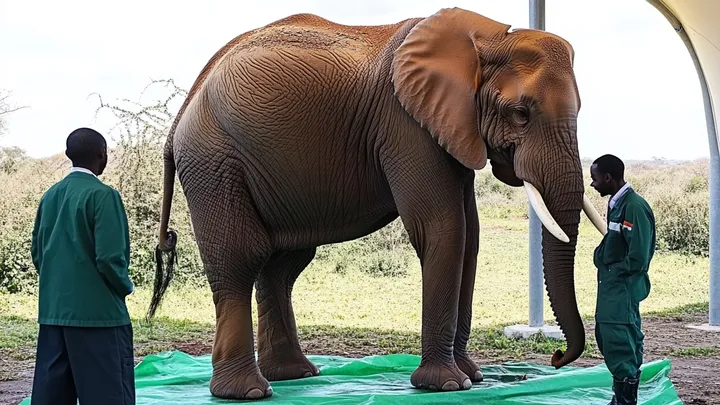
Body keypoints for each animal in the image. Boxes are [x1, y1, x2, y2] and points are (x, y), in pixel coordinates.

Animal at [147, 7, 607, 400]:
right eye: (521, 114)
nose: (556, 358)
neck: (488, 37)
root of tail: (182, 111)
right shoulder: (405, 124)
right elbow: (443, 229)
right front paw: (447, 385)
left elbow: (470, 239)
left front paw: (471, 378)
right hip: (213, 161)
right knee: (242, 258)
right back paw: (249, 392)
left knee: (282, 264)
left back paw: (295, 375)